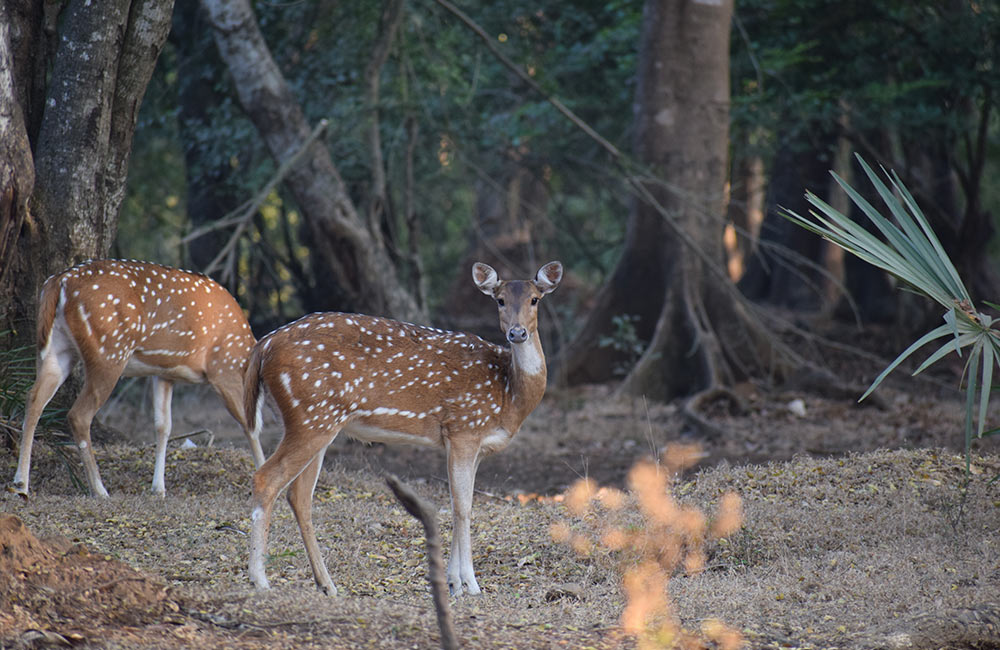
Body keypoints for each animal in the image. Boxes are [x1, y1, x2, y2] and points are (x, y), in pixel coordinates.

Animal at [13, 258, 270, 496]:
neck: (244, 353)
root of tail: (59, 282)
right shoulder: (223, 368)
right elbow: (251, 424)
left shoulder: (164, 373)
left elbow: (163, 426)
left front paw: (158, 489)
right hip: (109, 350)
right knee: (78, 415)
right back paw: (99, 489)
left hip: (57, 349)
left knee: (33, 398)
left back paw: (21, 484)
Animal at [243, 260, 564, 596]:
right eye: (499, 300)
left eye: (534, 299)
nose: (517, 332)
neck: (508, 394)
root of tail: (263, 346)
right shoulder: (463, 427)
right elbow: (463, 507)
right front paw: (470, 584)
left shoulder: (472, 444)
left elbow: (456, 503)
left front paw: (453, 582)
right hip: (312, 415)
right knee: (266, 478)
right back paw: (260, 579)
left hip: (314, 421)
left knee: (299, 496)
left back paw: (327, 584)